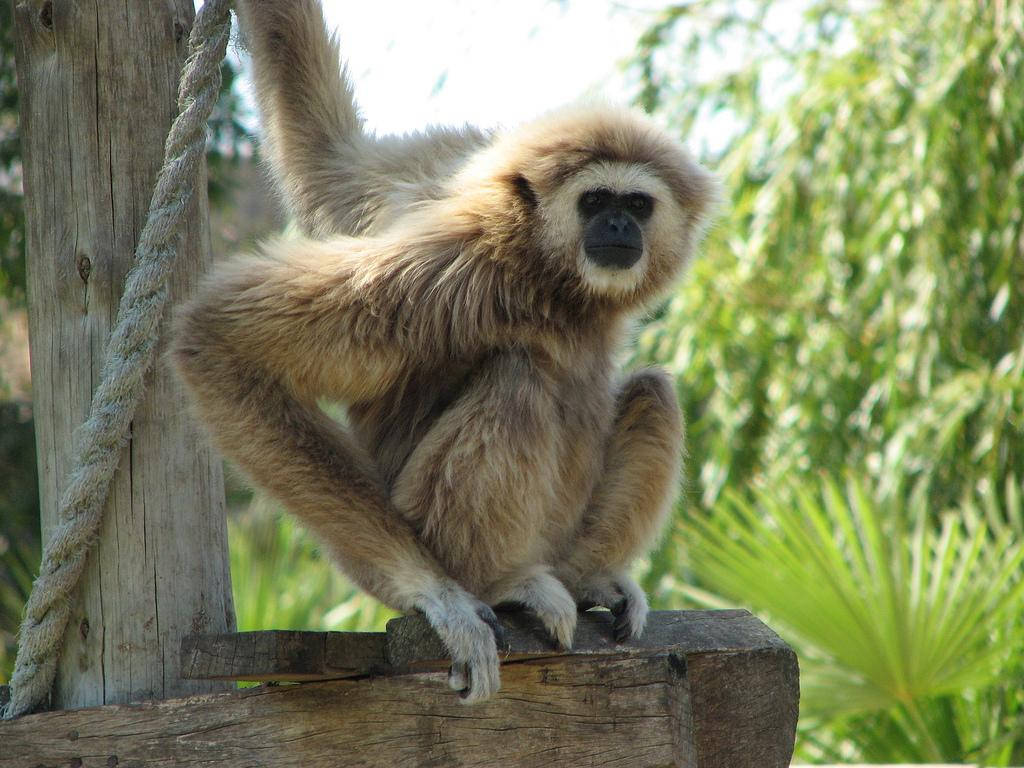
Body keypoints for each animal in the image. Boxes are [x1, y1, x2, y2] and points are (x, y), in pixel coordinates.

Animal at [170, 0, 717, 703]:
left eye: (638, 204)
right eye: (595, 200)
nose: (618, 225)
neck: (545, 276)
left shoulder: (450, 172)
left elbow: (339, 161)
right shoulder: (452, 265)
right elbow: (217, 337)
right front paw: (436, 594)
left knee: (652, 390)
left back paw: (588, 575)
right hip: (426, 515)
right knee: (519, 377)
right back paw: (500, 582)